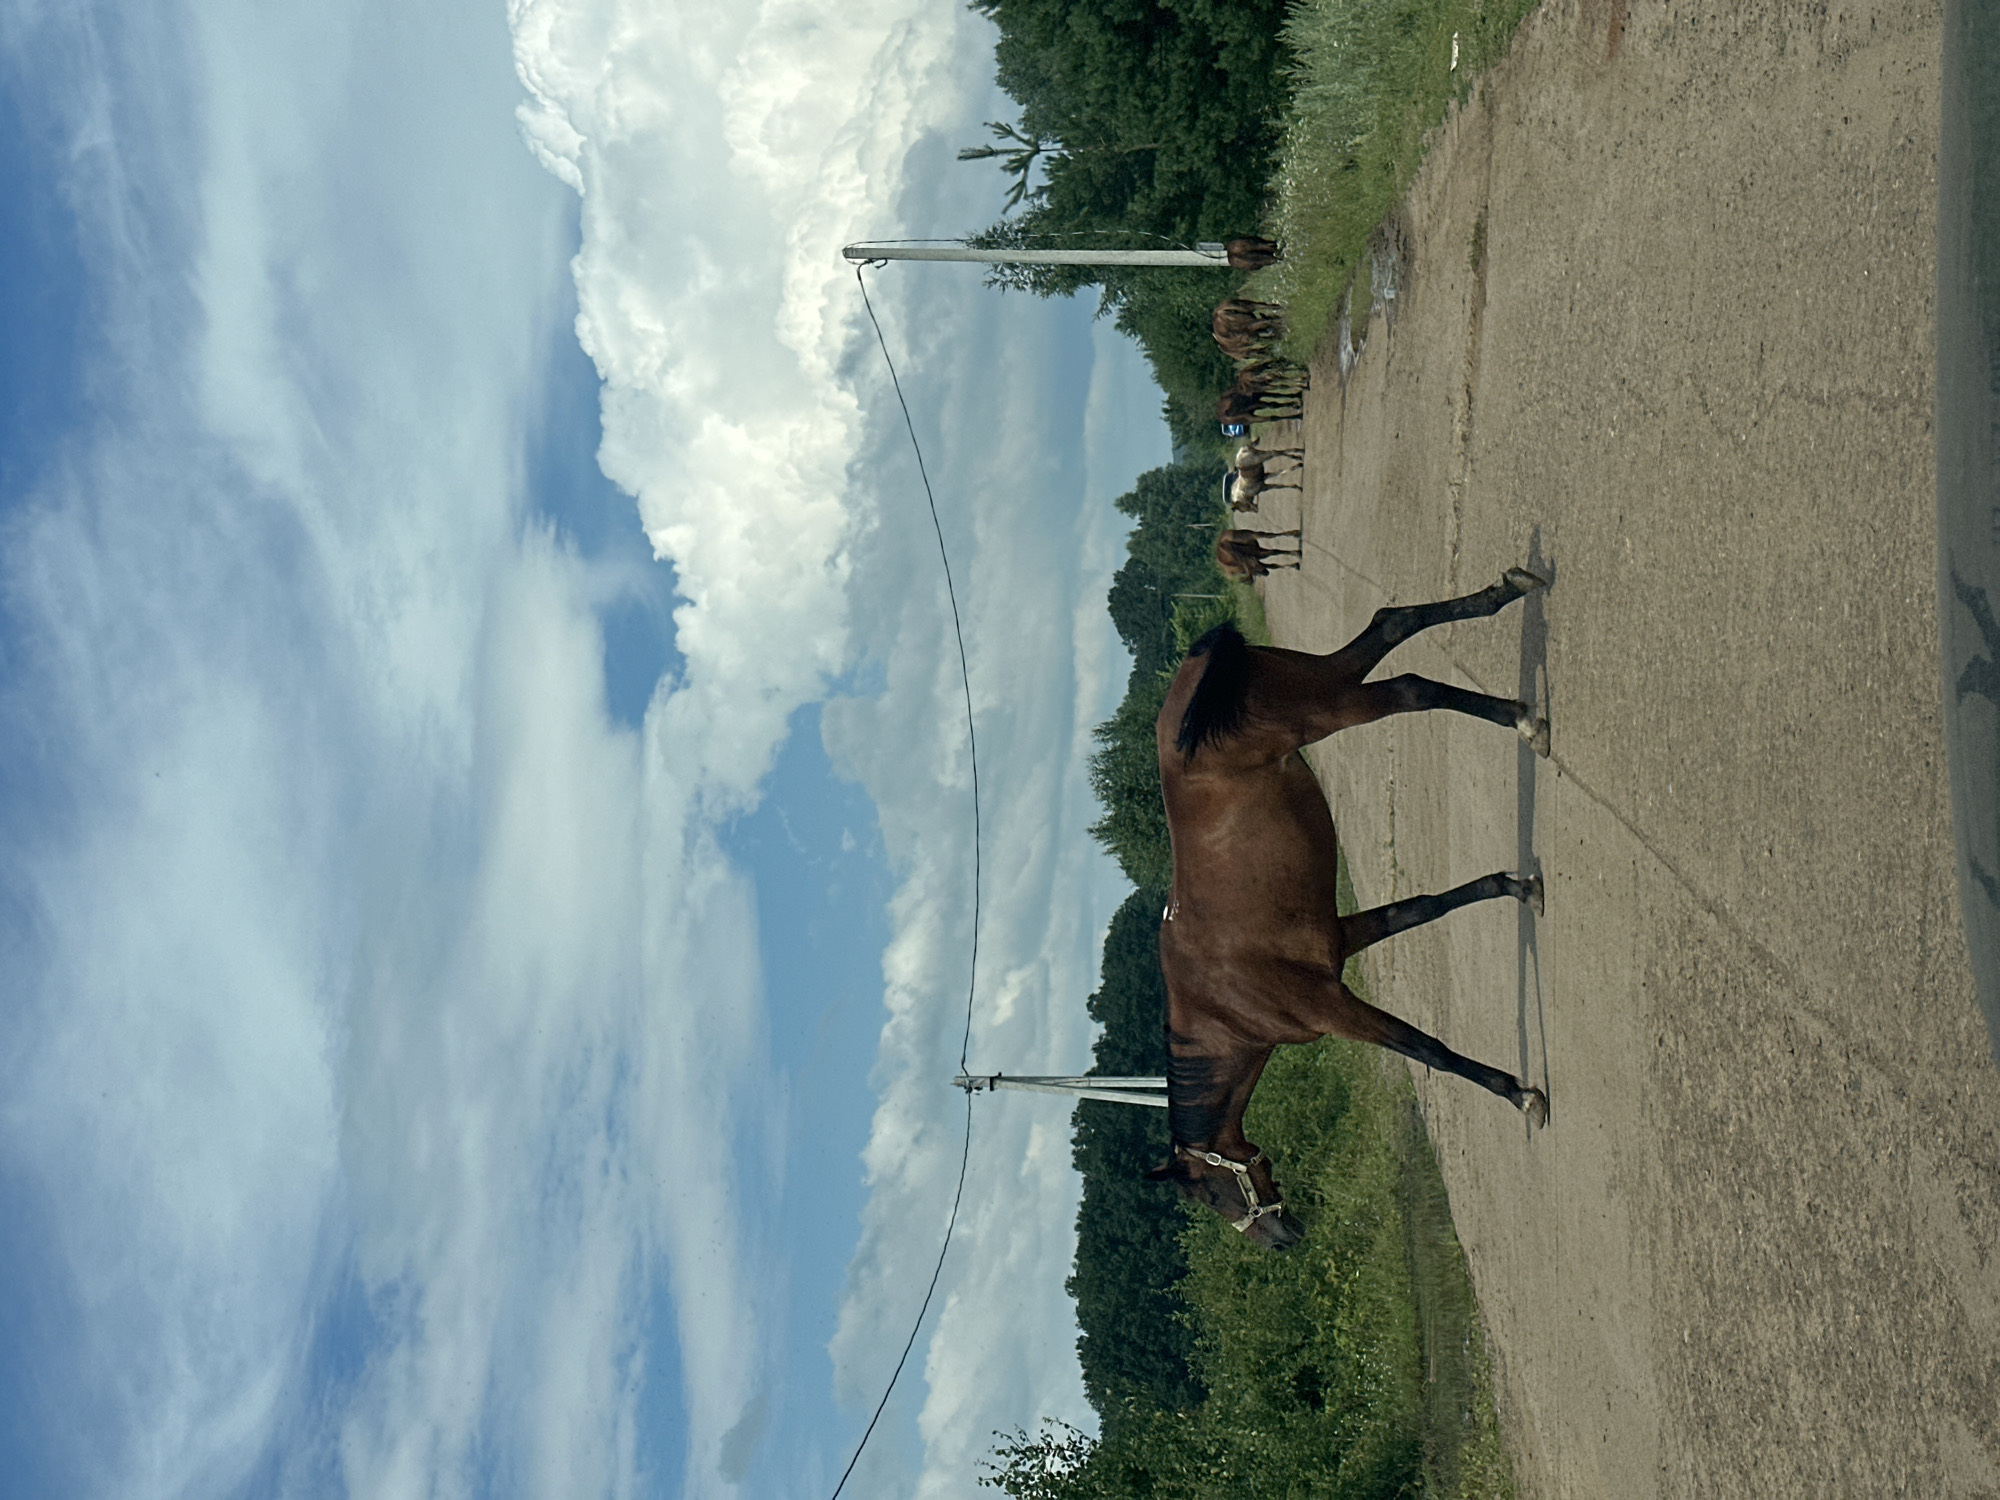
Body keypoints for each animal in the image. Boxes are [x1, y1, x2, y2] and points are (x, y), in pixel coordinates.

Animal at [1146, 566, 1553, 1250]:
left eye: (1215, 1196)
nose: (1280, 1240)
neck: (1220, 1007)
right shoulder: (1341, 936)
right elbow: (1423, 907)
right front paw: (1513, 886)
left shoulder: (1333, 1008)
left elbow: (1427, 1050)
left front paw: (1518, 1094)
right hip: (1318, 681)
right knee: (1390, 624)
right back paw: (1509, 595)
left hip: (1325, 706)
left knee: (1409, 686)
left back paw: (1523, 718)